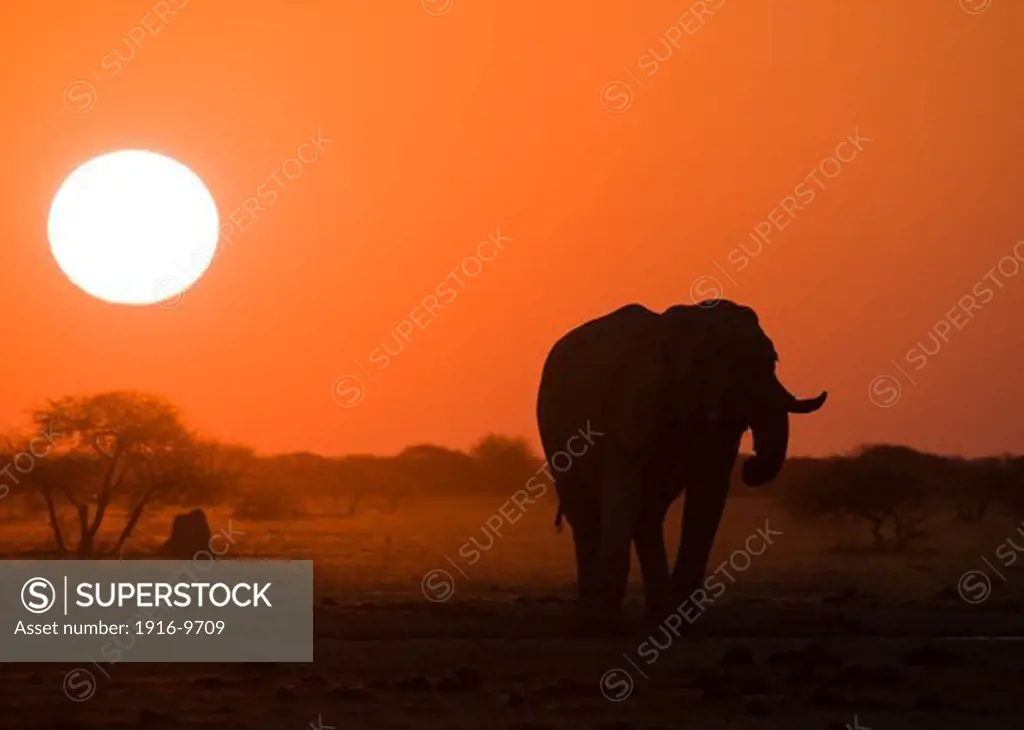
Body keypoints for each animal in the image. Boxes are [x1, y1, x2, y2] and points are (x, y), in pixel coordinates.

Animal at [536, 298, 823, 622]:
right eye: (740, 366)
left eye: (773, 361)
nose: (749, 466)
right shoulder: (633, 401)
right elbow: (623, 490)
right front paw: (607, 619)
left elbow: (709, 492)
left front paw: (681, 619)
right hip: (555, 437)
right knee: (584, 514)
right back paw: (592, 614)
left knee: (649, 514)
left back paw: (656, 613)